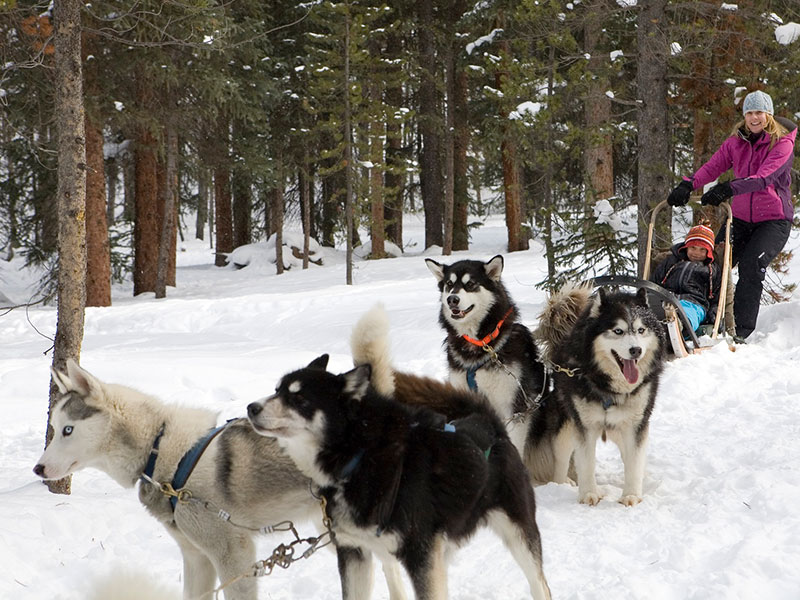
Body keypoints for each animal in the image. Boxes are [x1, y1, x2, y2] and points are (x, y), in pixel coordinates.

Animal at [34, 360, 406, 600]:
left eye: (68, 430)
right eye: (54, 428)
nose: (38, 469)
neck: (161, 446)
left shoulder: (234, 556)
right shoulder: (197, 559)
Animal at [247, 354, 552, 600]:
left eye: (299, 398)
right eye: (277, 390)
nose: (251, 407)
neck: (359, 456)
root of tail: (491, 424)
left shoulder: (420, 556)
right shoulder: (353, 552)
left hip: (519, 534)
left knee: (540, 585)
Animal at [536, 284, 668, 504]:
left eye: (641, 330)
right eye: (618, 331)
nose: (636, 350)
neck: (610, 387)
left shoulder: (635, 425)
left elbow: (634, 461)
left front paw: (631, 495)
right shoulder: (585, 426)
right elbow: (586, 462)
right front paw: (589, 493)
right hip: (566, 427)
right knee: (562, 461)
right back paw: (562, 484)